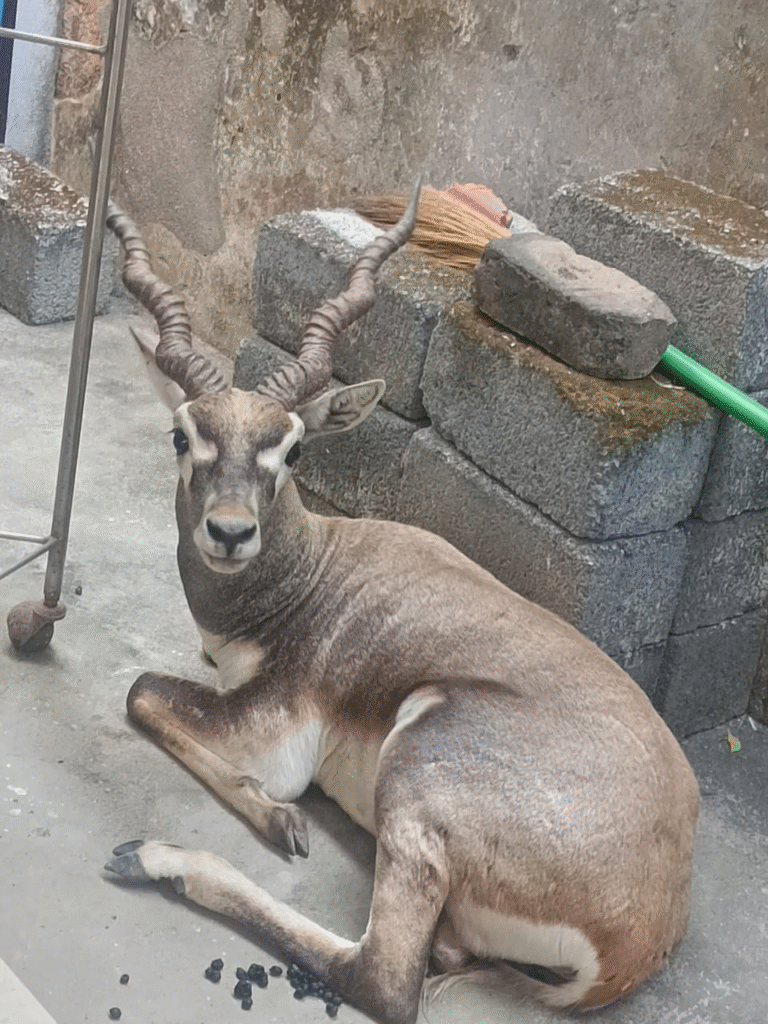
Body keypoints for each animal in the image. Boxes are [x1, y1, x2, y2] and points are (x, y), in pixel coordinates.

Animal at [103, 180, 699, 1024]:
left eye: (292, 448)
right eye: (183, 435)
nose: (230, 532)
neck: (309, 575)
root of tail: (643, 933)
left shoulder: (274, 727)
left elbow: (142, 691)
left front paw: (278, 817)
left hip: (418, 771)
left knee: (383, 979)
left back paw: (158, 857)